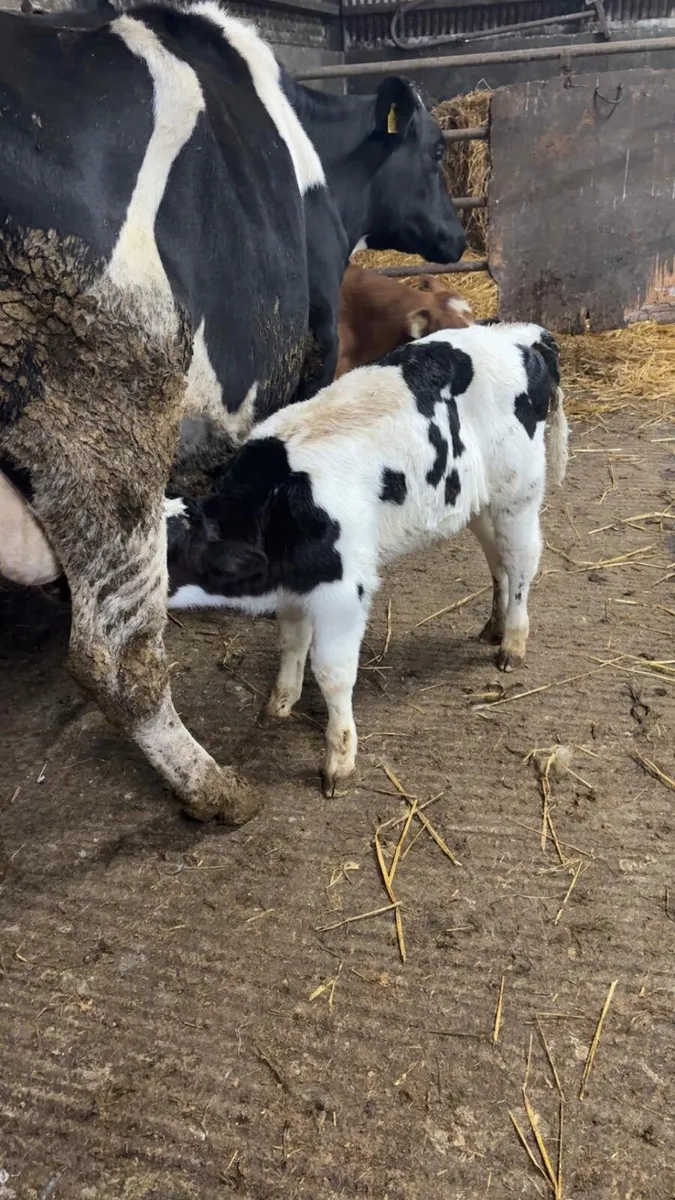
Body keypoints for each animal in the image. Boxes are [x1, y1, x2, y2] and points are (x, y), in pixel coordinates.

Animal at [162, 323, 569, 795]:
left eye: (167, 551)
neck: (278, 498)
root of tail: (521, 334)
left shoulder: (342, 590)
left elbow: (332, 672)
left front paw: (339, 759)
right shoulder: (297, 583)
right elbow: (291, 642)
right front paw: (280, 703)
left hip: (518, 494)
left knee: (521, 561)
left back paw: (512, 642)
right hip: (477, 500)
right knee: (496, 558)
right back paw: (495, 626)